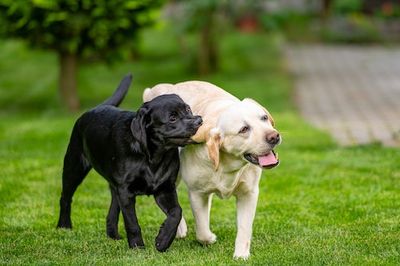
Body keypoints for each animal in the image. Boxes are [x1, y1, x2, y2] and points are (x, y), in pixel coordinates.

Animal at [55, 74, 203, 251]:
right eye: (172, 118)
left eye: (188, 109)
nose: (199, 120)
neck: (152, 157)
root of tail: (97, 107)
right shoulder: (126, 191)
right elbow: (132, 223)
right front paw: (138, 246)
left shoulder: (165, 188)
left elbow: (176, 212)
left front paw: (163, 240)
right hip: (74, 168)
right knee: (65, 197)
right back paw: (64, 226)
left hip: (114, 186)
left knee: (112, 210)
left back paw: (113, 235)